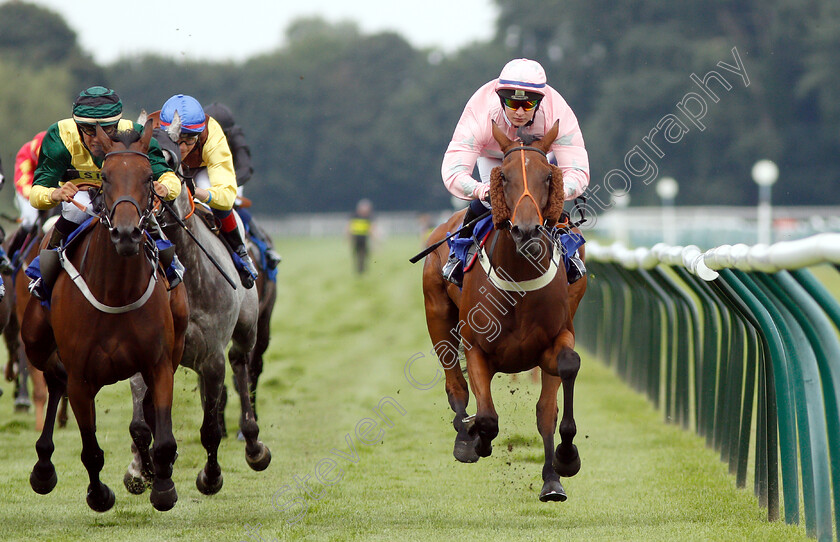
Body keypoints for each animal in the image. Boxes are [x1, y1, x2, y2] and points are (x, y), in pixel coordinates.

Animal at [21, 123, 189, 516]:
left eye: (148, 178)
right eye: (107, 178)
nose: (126, 233)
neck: (116, 291)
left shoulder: (159, 363)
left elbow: (163, 436)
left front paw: (163, 487)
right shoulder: (81, 377)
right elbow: (91, 451)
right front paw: (99, 495)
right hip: (35, 342)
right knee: (54, 382)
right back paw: (43, 468)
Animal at [424, 121, 588, 504]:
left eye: (548, 176)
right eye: (504, 177)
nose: (525, 230)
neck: (520, 280)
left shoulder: (556, 340)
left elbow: (555, 395)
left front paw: (562, 464)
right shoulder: (476, 348)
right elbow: (486, 417)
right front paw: (476, 440)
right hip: (437, 315)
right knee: (455, 384)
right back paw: (464, 436)